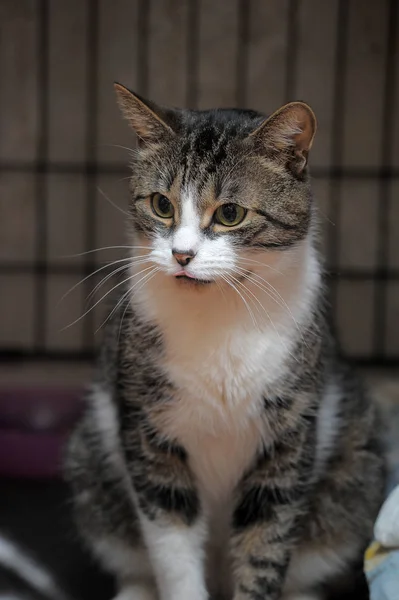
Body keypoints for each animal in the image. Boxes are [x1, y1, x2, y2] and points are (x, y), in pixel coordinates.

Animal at [65, 84, 388, 600]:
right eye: (161, 204)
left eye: (230, 214)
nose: (181, 255)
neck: (219, 315)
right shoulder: (148, 429)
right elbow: (171, 541)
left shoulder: (289, 436)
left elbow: (266, 540)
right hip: (91, 464)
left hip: (355, 471)